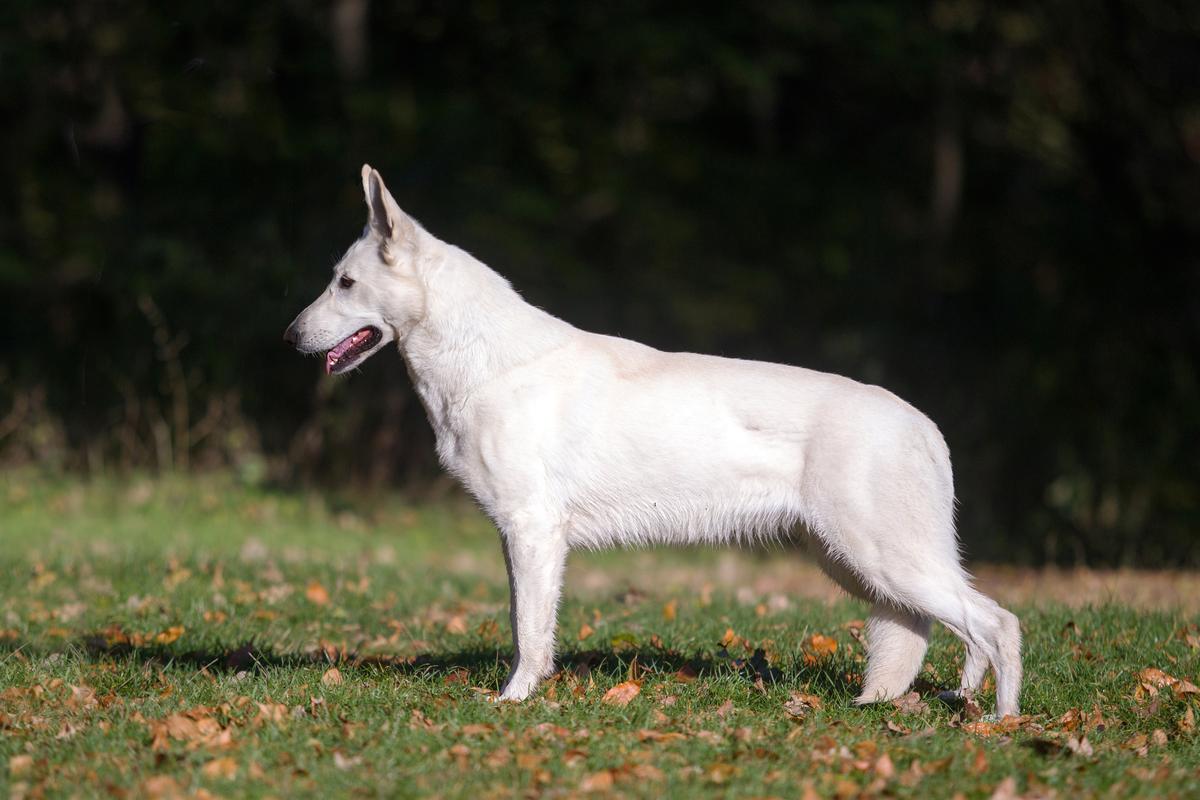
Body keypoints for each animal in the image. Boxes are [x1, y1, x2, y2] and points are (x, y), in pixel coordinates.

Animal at [283, 165, 1022, 714]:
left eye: (345, 283)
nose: (289, 338)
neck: (487, 361)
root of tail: (925, 425)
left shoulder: (532, 531)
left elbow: (528, 631)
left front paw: (513, 702)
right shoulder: (520, 539)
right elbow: (528, 623)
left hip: (878, 555)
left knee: (995, 626)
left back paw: (997, 721)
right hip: (851, 559)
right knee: (919, 628)